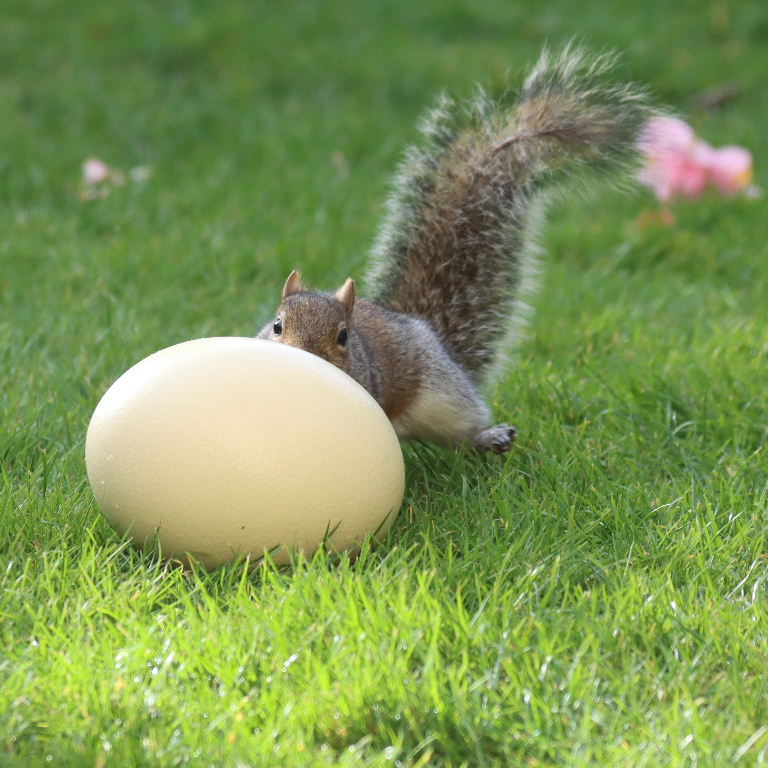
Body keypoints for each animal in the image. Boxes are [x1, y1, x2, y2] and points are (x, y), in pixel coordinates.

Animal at [257, 47, 653, 454]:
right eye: (277, 326)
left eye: (344, 337)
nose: (303, 361)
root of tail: (433, 337)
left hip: (443, 398)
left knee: (462, 430)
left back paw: (490, 437)